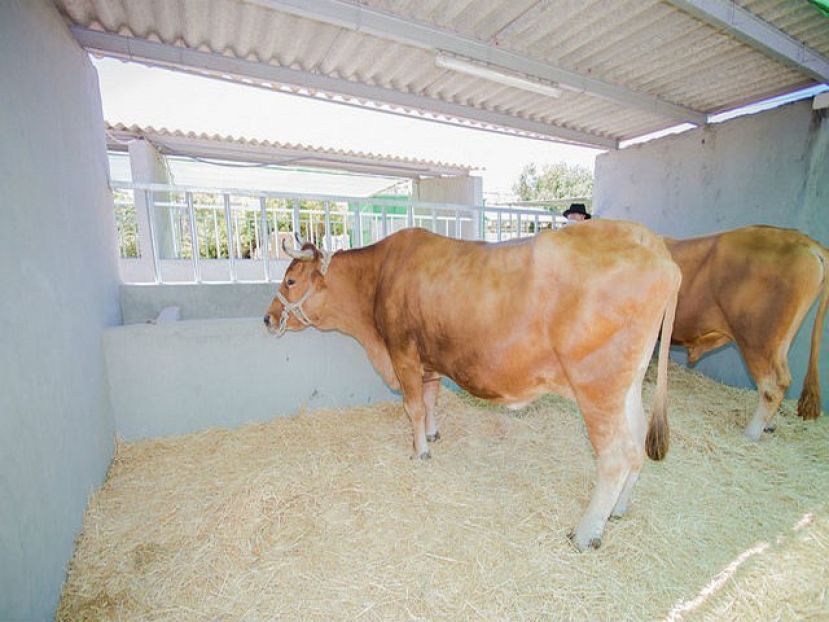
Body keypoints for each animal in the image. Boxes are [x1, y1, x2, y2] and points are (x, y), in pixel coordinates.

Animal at [265, 222, 681, 550]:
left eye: (290, 280)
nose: (268, 318)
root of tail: (651, 243)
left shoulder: (402, 352)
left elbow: (413, 406)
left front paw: (419, 451)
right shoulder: (428, 361)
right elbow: (431, 400)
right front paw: (432, 435)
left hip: (596, 387)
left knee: (616, 456)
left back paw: (585, 533)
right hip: (627, 386)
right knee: (637, 442)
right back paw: (619, 509)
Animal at [666, 226, 829, 440]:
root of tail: (802, 239)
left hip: (756, 340)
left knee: (772, 386)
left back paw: (751, 433)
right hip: (779, 344)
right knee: (783, 379)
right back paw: (768, 425)